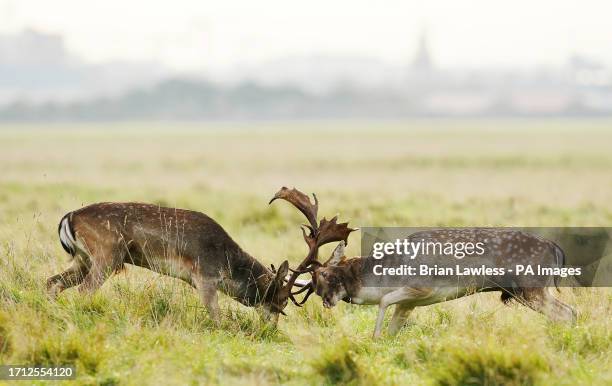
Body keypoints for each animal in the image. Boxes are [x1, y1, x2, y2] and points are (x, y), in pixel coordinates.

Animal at [46, 188, 354, 324]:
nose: (271, 328)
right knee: (83, 291)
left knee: (53, 281)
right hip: (107, 255)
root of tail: (69, 217)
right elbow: (216, 318)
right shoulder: (205, 277)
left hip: (83, 259)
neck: (227, 263)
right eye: (279, 300)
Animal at [274, 191, 576, 336]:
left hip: (531, 287)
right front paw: (382, 339)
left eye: (324, 274)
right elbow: (394, 326)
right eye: (313, 284)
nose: (327, 302)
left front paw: (373, 336)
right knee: (568, 312)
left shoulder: (423, 288)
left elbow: (384, 302)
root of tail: (556, 249)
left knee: (568, 312)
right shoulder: (410, 303)